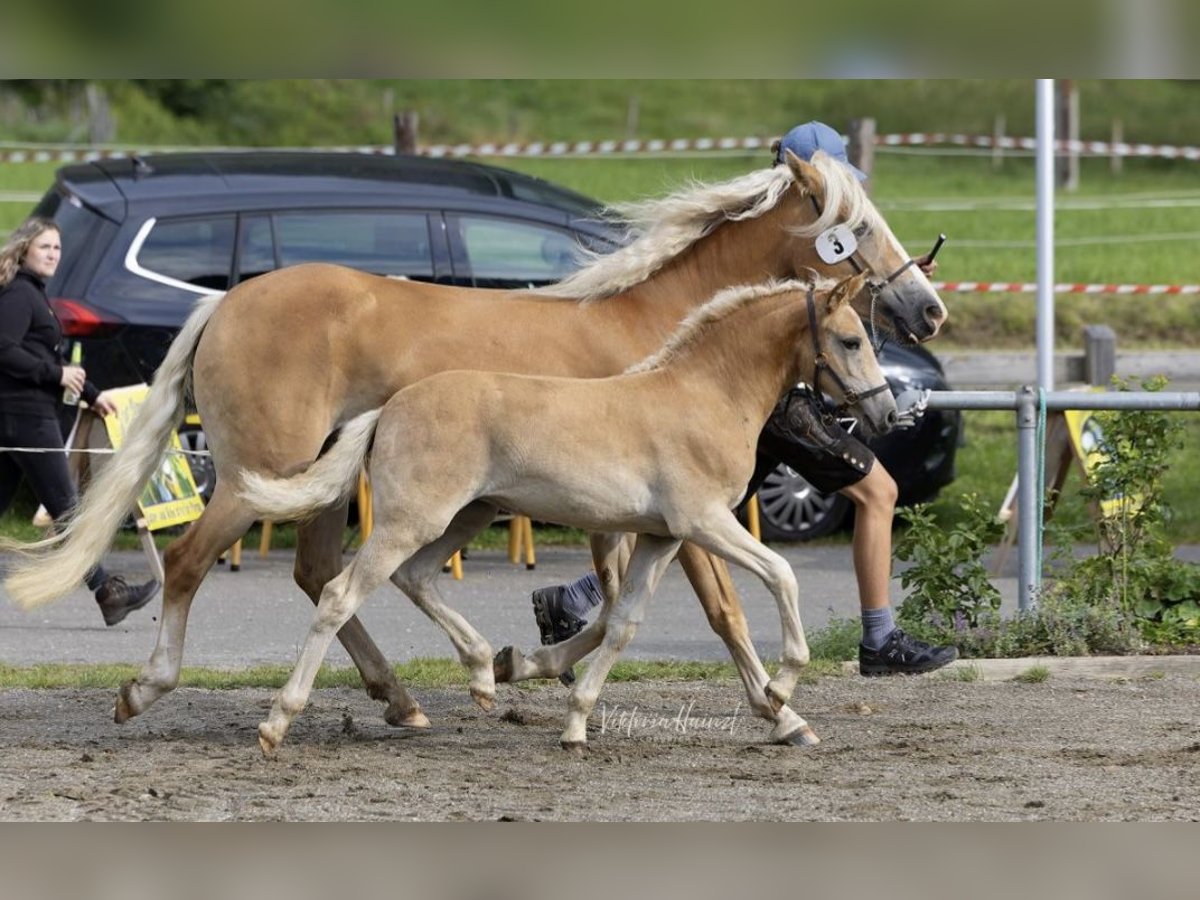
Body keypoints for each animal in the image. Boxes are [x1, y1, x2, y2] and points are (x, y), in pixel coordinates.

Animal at [243, 274, 897, 755]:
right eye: (850, 341)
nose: (888, 414)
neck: (705, 395)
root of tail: (388, 408)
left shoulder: (660, 537)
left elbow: (623, 622)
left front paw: (576, 724)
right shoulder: (705, 522)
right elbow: (781, 575)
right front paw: (781, 688)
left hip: (466, 516)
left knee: (415, 577)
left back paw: (484, 673)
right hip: (415, 520)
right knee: (340, 594)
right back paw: (278, 724)